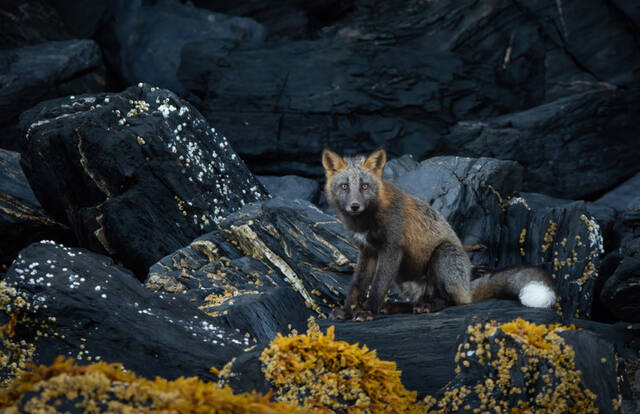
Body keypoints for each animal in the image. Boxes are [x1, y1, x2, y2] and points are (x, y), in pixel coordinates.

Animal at [322, 147, 556, 322]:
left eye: (364, 186)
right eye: (345, 186)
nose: (354, 206)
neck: (367, 221)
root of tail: (467, 286)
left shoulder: (391, 249)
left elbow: (378, 286)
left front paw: (368, 311)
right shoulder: (367, 251)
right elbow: (357, 285)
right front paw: (347, 311)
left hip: (442, 256)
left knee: (451, 302)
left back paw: (428, 305)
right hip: (405, 280)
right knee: (415, 303)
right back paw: (398, 307)